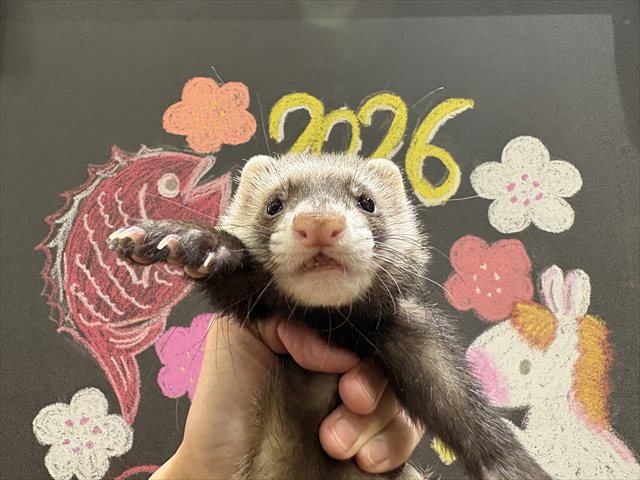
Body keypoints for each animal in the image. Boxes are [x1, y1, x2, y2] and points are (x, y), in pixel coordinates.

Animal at [110, 152, 551, 480]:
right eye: (274, 204)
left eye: (366, 200)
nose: (319, 222)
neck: (331, 327)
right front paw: (185, 238)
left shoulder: (419, 342)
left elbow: (462, 409)